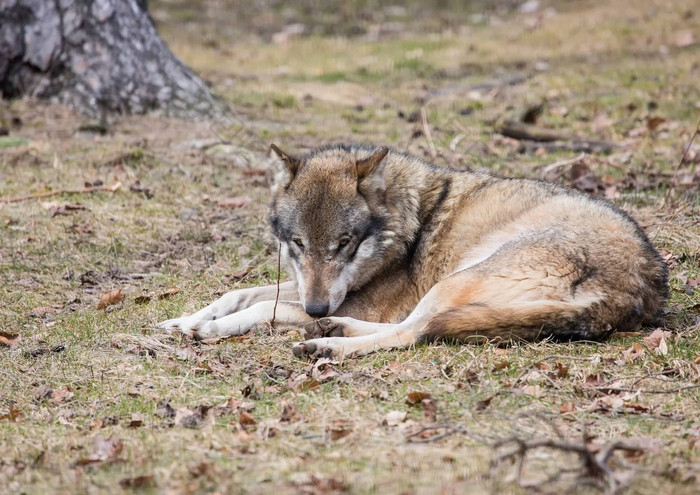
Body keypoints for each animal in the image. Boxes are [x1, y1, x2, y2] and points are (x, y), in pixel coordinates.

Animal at [156, 144, 668, 360]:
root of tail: (633, 291)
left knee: (415, 331)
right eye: (299, 244)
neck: (409, 223)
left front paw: (209, 330)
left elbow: (262, 307)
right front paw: (184, 320)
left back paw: (326, 343)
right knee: (417, 325)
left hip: (458, 279)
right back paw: (331, 330)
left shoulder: (352, 299)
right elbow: (239, 293)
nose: (317, 307)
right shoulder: (307, 289)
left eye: (344, 244)